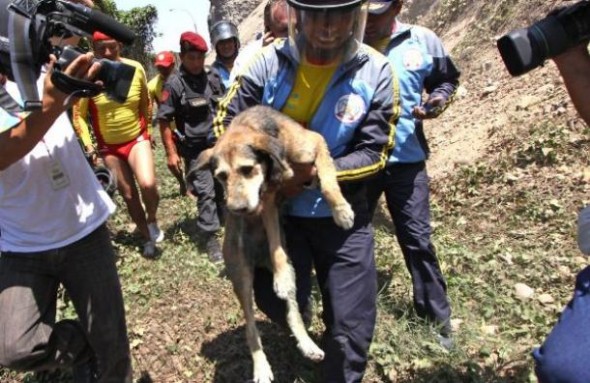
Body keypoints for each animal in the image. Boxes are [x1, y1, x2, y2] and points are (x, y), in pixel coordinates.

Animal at [158, 31, 225, 262]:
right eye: (192, 56)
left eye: (199, 57)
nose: (197, 63)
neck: (194, 77)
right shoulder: (169, 91)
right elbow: (164, 118)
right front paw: (212, 242)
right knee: (207, 193)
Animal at [195, 106, 356, 383]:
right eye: (221, 177)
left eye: (247, 169)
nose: (237, 210)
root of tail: (259, 261)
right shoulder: (268, 202)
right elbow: (275, 246)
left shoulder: (314, 144)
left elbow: (327, 178)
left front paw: (340, 210)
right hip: (242, 278)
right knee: (251, 328)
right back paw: (261, 367)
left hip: (290, 277)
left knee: (293, 312)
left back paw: (308, 344)